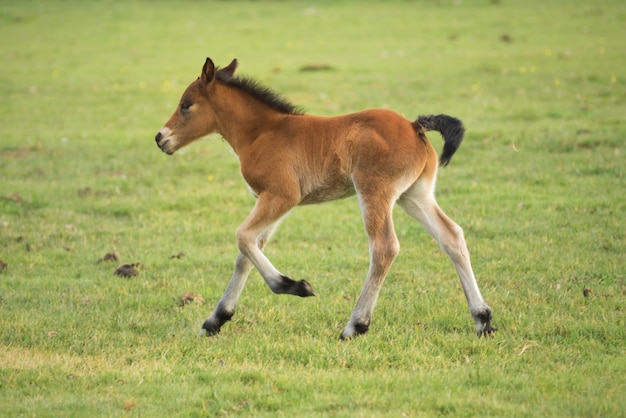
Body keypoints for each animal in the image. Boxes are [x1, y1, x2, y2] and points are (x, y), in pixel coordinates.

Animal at [155, 58, 492, 340]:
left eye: (186, 105)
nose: (160, 138)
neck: (261, 132)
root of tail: (414, 125)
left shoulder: (281, 195)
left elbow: (243, 238)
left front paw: (294, 286)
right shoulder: (271, 200)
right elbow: (247, 252)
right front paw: (215, 320)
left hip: (375, 191)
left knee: (384, 248)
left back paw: (355, 326)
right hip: (414, 195)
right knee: (452, 236)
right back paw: (483, 319)